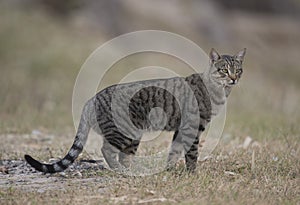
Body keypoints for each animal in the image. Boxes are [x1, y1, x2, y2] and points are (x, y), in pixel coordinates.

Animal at [25, 47, 246, 173]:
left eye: (238, 70)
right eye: (223, 70)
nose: (234, 78)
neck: (219, 91)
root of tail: (91, 99)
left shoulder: (180, 130)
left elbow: (174, 152)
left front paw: (169, 171)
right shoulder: (192, 127)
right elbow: (191, 155)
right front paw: (192, 174)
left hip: (132, 135)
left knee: (123, 155)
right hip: (124, 132)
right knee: (108, 151)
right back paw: (122, 171)